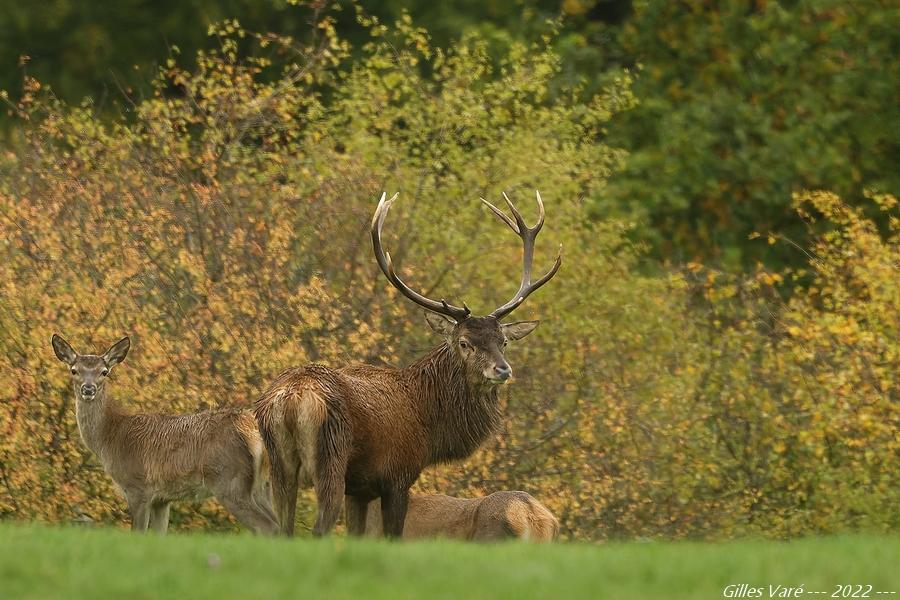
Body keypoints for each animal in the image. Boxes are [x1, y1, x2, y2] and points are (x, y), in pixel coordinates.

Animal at [52, 332, 278, 536]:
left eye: (104, 371)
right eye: (74, 370)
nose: (88, 389)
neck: (111, 437)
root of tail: (253, 433)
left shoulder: (138, 487)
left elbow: (138, 533)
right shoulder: (162, 499)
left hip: (229, 480)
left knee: (268, 528)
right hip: (263, 485)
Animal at [255, 190, 564, 536]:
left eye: (504, 341)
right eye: (464, 343)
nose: (502, 369)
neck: (429, 424)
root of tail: (290, 399)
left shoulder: (360, 490)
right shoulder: (396, 476)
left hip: (279, 465)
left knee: (281, 529)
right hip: (330, 458)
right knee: (319, 528)